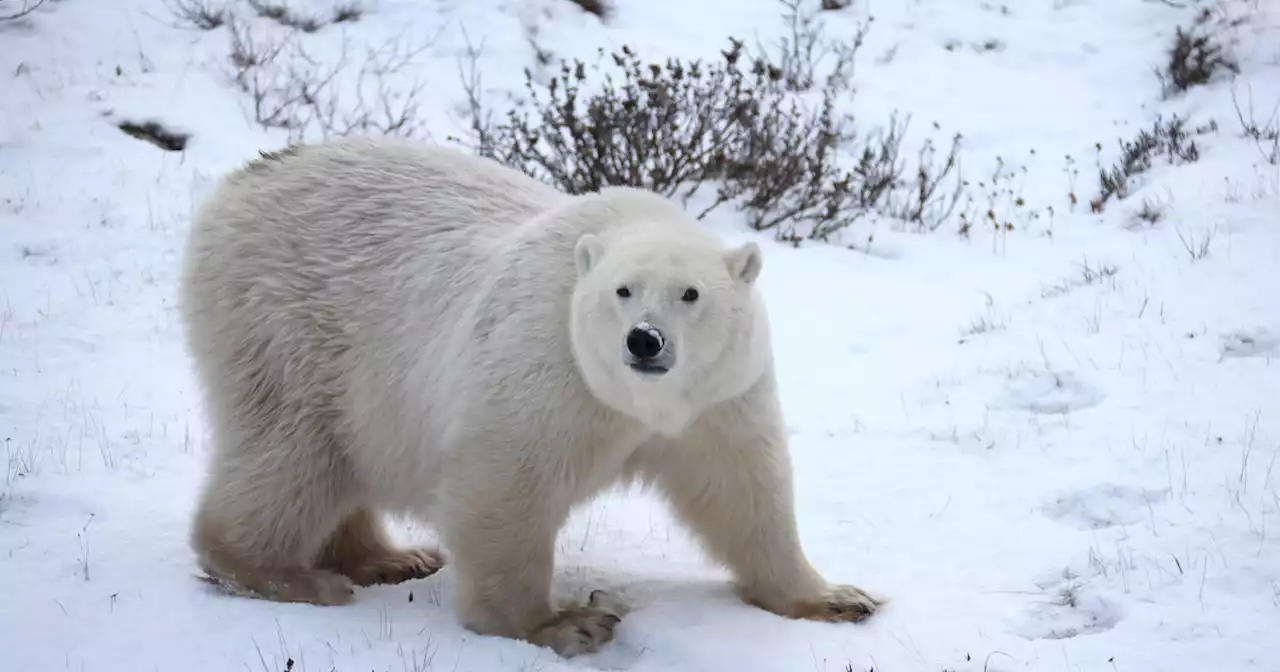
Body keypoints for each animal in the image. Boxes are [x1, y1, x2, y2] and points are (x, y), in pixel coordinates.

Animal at [180, 136, 880, 655]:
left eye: (691, 293)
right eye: (622, 290)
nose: (644, 341)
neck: (634, 402)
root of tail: (243, 180)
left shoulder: (718, 398)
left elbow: (743, 488)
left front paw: (838, 597)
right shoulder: (547, 359)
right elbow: (506, 482)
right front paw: (564, 623)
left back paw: (390, 559)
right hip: (285, 323)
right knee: (293, 454)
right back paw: (286, 573)